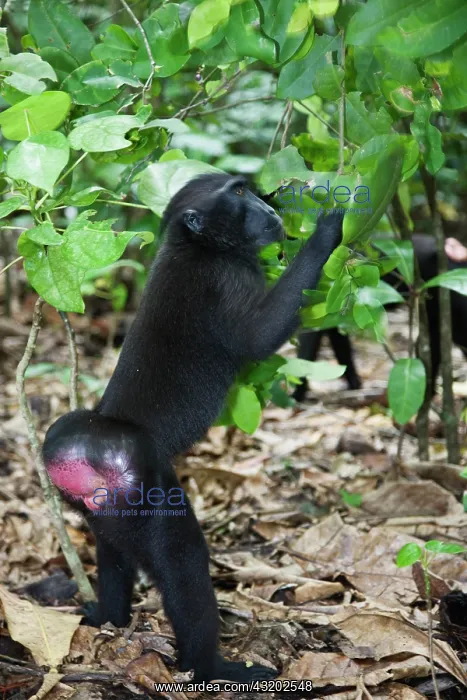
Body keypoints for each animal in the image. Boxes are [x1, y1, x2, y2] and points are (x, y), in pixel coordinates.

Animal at [42, 173, 344, 682]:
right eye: (238, 195)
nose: (270, 209)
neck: (197, 245)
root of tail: (84, 447)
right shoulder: (222, 280)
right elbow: (259, 338)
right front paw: (326, 232)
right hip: (144, 489)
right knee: (182, 561)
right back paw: (211, 665)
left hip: (102, 508)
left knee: (113, 550)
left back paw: (109, 617)